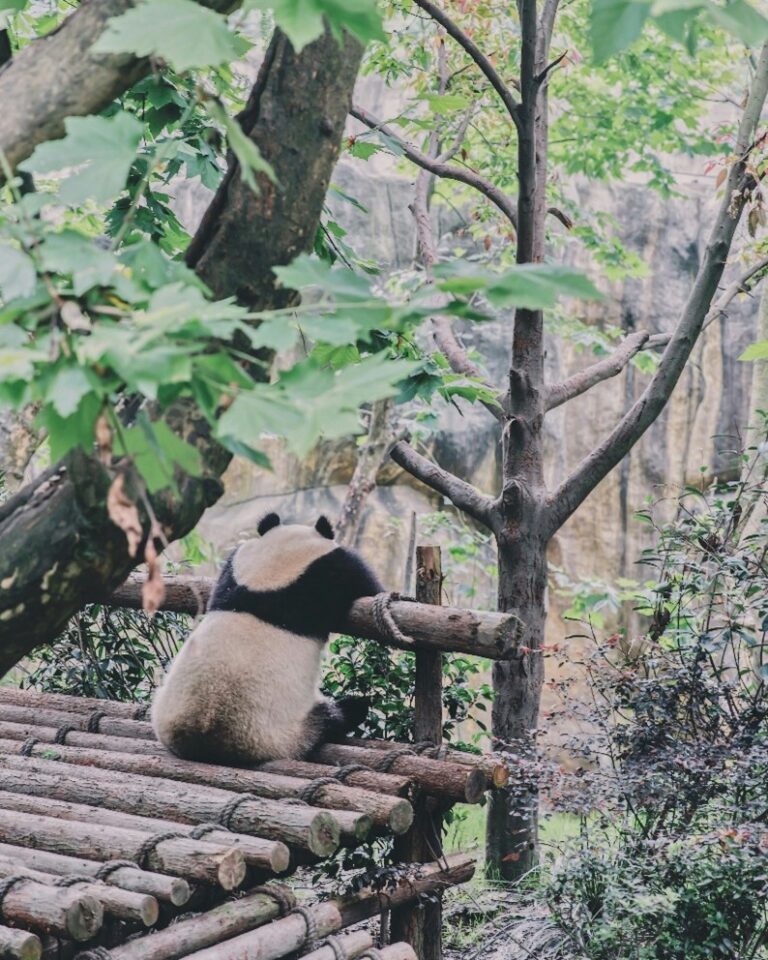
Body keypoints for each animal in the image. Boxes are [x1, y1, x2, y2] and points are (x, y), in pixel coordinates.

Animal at [151, 513, 383, 765]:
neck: (272, 570)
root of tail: (201, 740)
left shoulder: (234, 567)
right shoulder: (331, 570)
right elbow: (367, 584)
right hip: (281, 732)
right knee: (330, 719)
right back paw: (355, 707)